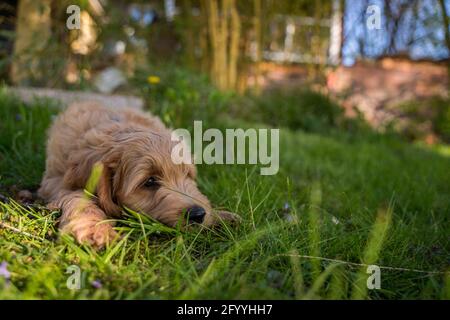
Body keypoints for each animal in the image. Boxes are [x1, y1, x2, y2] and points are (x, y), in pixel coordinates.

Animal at [37, 102, 239, 248]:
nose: (198, 214)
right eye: (149, 181)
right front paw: (94, 229)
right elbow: (80, 198)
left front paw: (221, 216)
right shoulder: (56, 182)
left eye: (187, 175)